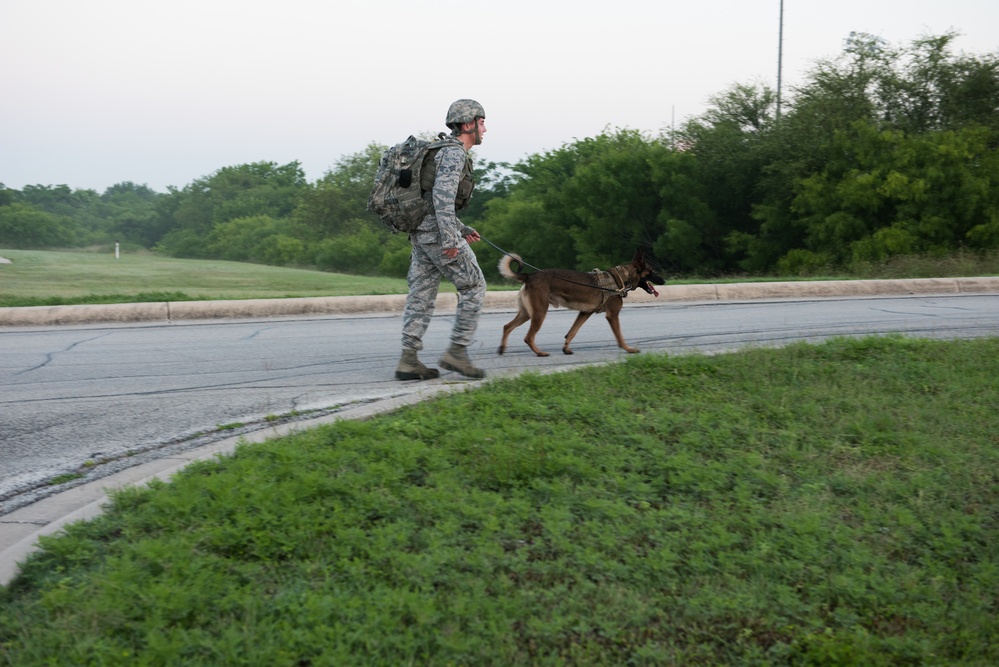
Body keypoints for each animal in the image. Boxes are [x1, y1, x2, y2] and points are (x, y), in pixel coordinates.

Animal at [498, 248, 664, 358]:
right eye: (652, 271)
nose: (663, 281)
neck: (622, 278)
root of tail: (529, 275)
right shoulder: (612, 315)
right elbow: (620, 336)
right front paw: (629, 349)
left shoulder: (585, 313)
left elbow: (572, 332)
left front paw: (566, 349)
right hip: (539, 313)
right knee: (528, 337)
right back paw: (540, 352)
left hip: (527, 313)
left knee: (507, 326)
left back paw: (502, 349)